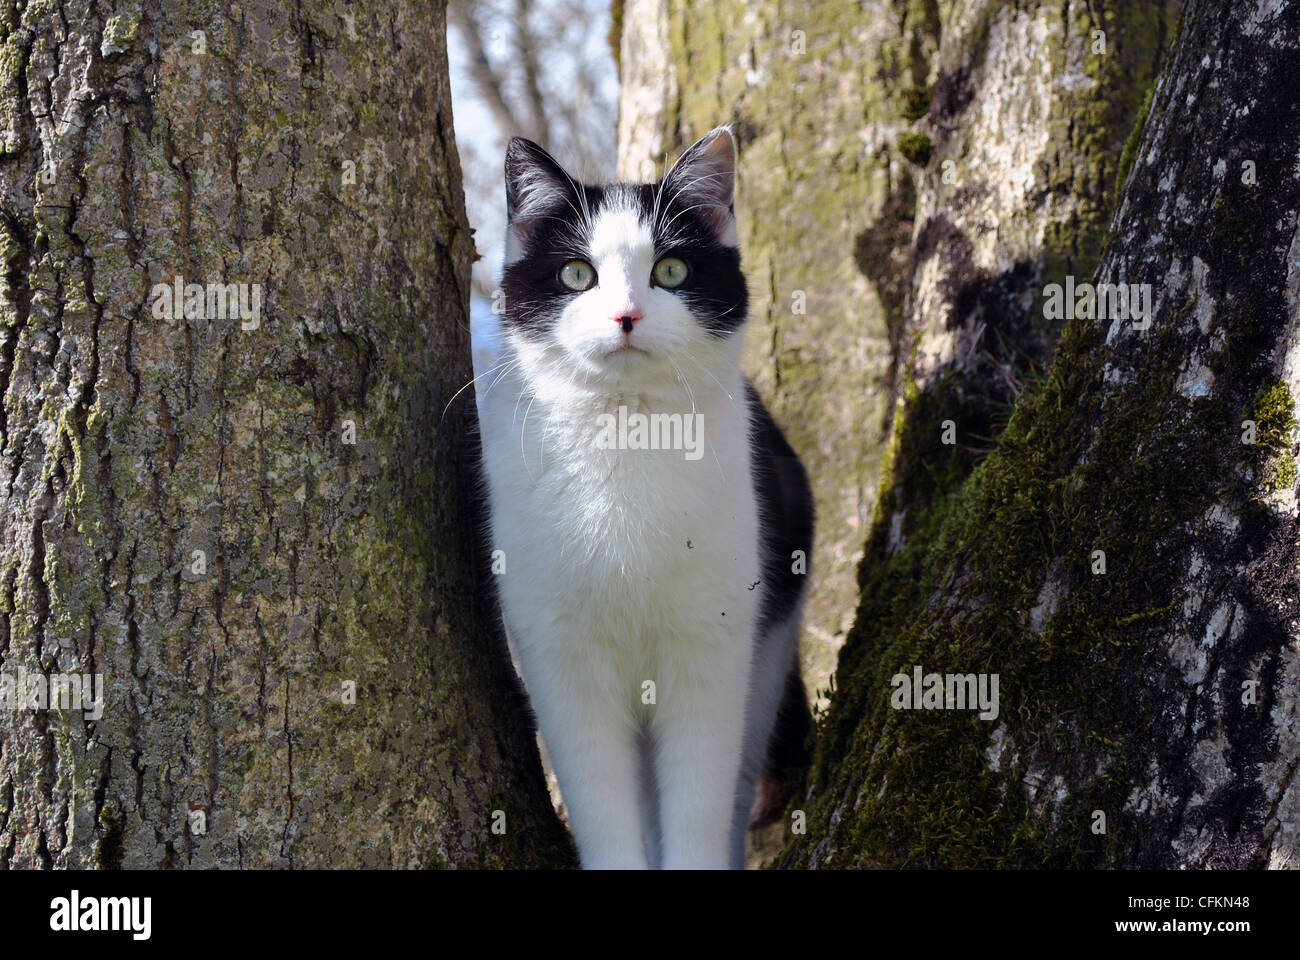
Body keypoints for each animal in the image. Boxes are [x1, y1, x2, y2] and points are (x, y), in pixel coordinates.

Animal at [473, 127, 816, 868]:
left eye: (673, 271)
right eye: (577, 275)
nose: (626, 315)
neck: (627, 437)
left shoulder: (709, 650)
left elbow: (698, 803)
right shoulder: (563, 662)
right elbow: (604, 809)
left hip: (767, 652)